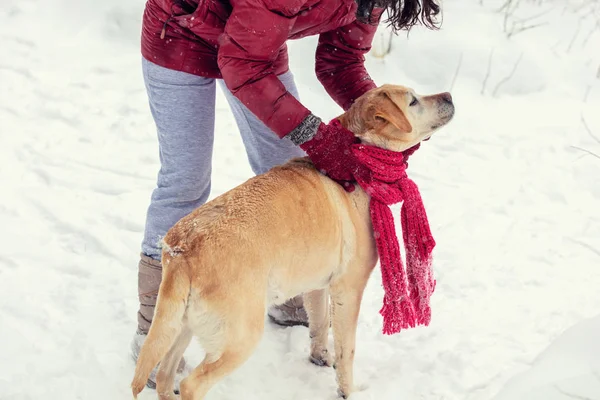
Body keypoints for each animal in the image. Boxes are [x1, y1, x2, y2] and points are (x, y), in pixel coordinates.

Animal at [130, 83, 454, 398]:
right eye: (413, 101)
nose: (449, 96)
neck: (362, 161)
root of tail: (182, 249)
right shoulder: (348, 289)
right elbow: (346, 351)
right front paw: (346, 389)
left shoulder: (317, 285)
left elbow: (320, 325)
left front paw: (320, 357)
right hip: (239, 336)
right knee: (191, 384)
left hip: (182, 326)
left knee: (164, 376)